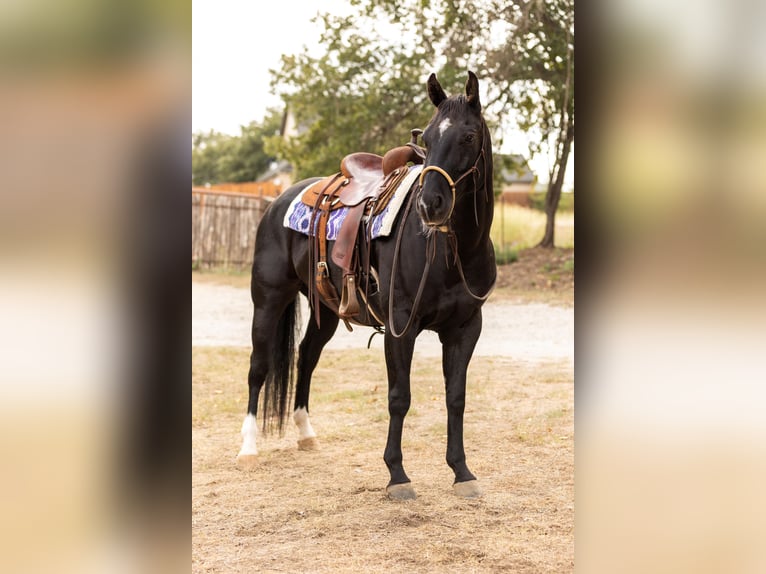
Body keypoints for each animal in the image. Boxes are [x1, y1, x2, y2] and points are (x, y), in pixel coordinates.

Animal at [236, 72, 498, 502]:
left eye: (468, 136)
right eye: (427, 138)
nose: (430, 205)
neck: (450, 251)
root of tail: (279, 201)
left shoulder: (465, 329)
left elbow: (456, 398)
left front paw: (462, 472)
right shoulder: (400, 327)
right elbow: (399, 397)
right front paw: (397, 475)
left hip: (325, 311)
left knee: (306, 357)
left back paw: (306, 434)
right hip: (269, 300)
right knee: (259, 367)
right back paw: (248, 449)